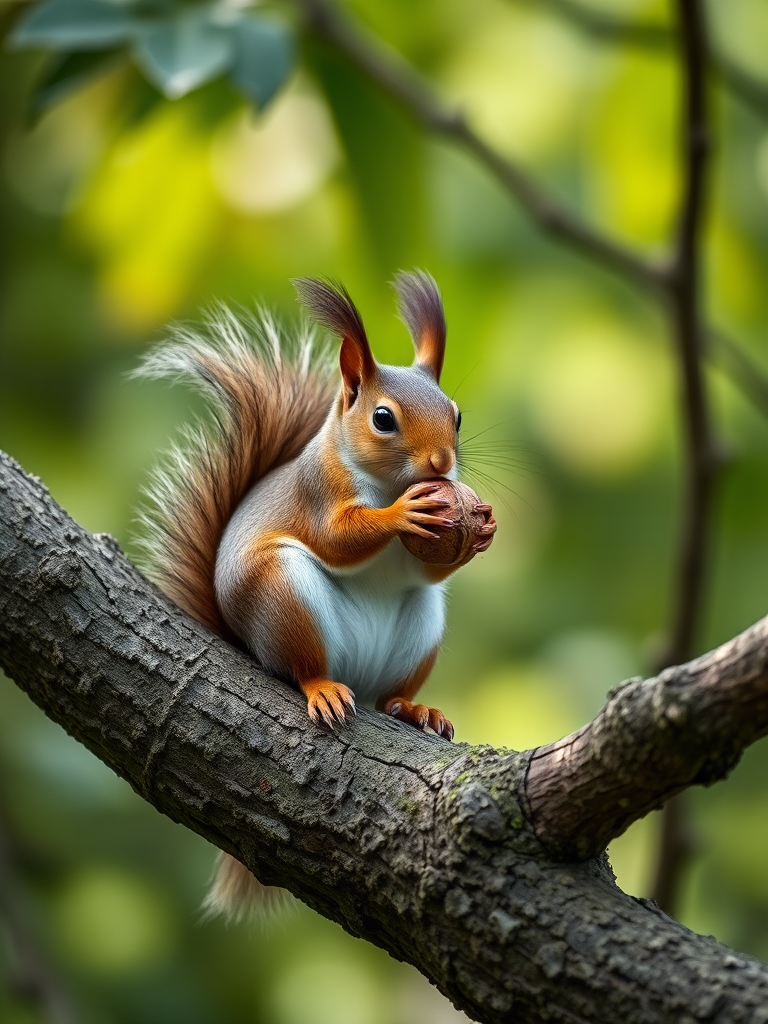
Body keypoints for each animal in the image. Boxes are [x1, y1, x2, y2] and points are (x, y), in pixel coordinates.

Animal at [137, 271, 496, 919]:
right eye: (382, 418)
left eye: (456, 415)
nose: (443, 463)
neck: (387, 482)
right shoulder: (319, 493)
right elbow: (338, 536)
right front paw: (401, 515)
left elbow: (427, 569)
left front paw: (480, 526)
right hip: (286, 598)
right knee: (303, 667)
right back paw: (322, 689)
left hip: (420, 630)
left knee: (389, 694)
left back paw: (414, 709)